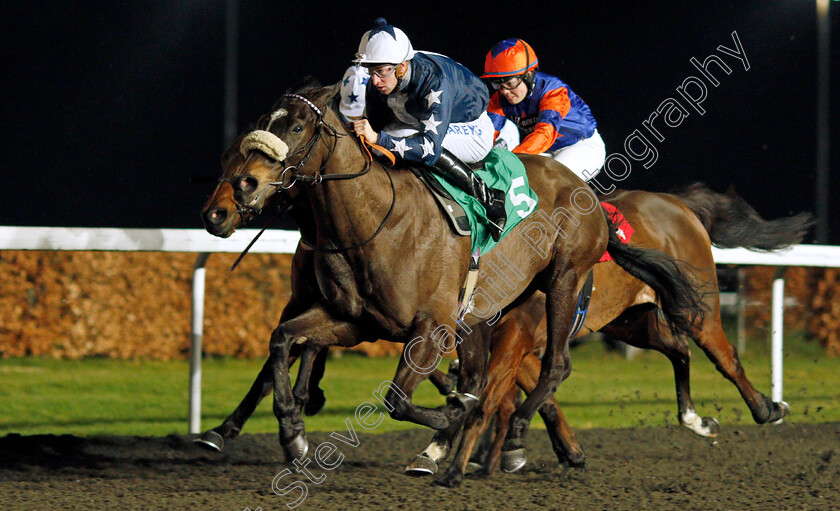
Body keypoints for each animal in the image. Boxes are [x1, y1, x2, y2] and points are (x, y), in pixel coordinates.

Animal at [210, 85, 704, 468]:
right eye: (261, 125)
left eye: (296, 128)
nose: (238, 193)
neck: (377, 220)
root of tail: (588, 194)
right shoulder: (353, 321)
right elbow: (283, 339)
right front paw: (291, 430)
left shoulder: (431, 325)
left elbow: (398, 399)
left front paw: (453, 418)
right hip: (500, 307)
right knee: (485, 373)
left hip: (564, 279)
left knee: (555, 364)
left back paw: (515, 434)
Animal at [430, 185, 812, 488]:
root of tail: (678, 204)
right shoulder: (513, 343)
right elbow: (534, 397)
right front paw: (566, 452)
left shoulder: (516, 336)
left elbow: (490, 400)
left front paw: (458, 464)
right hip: (632, 321)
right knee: (679, 350)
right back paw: (695, 419)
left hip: (696, 308)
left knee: (725, 357)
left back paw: (767, 408)